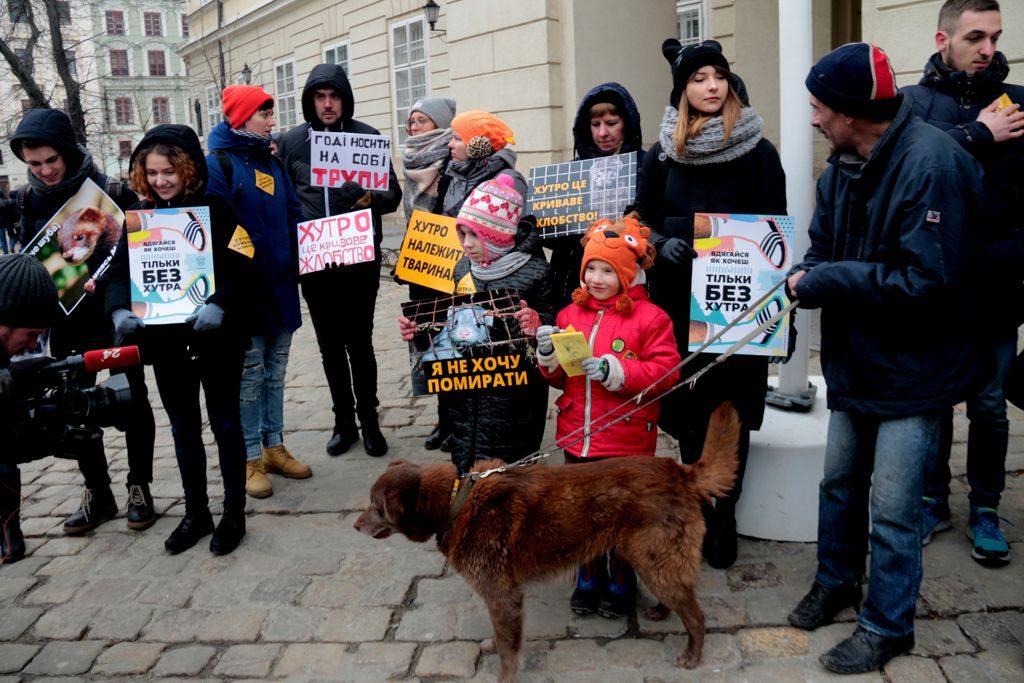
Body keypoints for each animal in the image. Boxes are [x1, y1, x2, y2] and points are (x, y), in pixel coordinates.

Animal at [354, 403, 739, 682]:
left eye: (376, 506)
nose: (355, 526)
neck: (457, 502)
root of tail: (680, 472)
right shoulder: (499, 596)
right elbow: (500, 638)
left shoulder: (503, 597)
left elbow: (509, 649)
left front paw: (505, 677)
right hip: (652, 559)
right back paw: (660, 611)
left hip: (655, 559)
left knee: (696, 616)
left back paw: (692, 655)